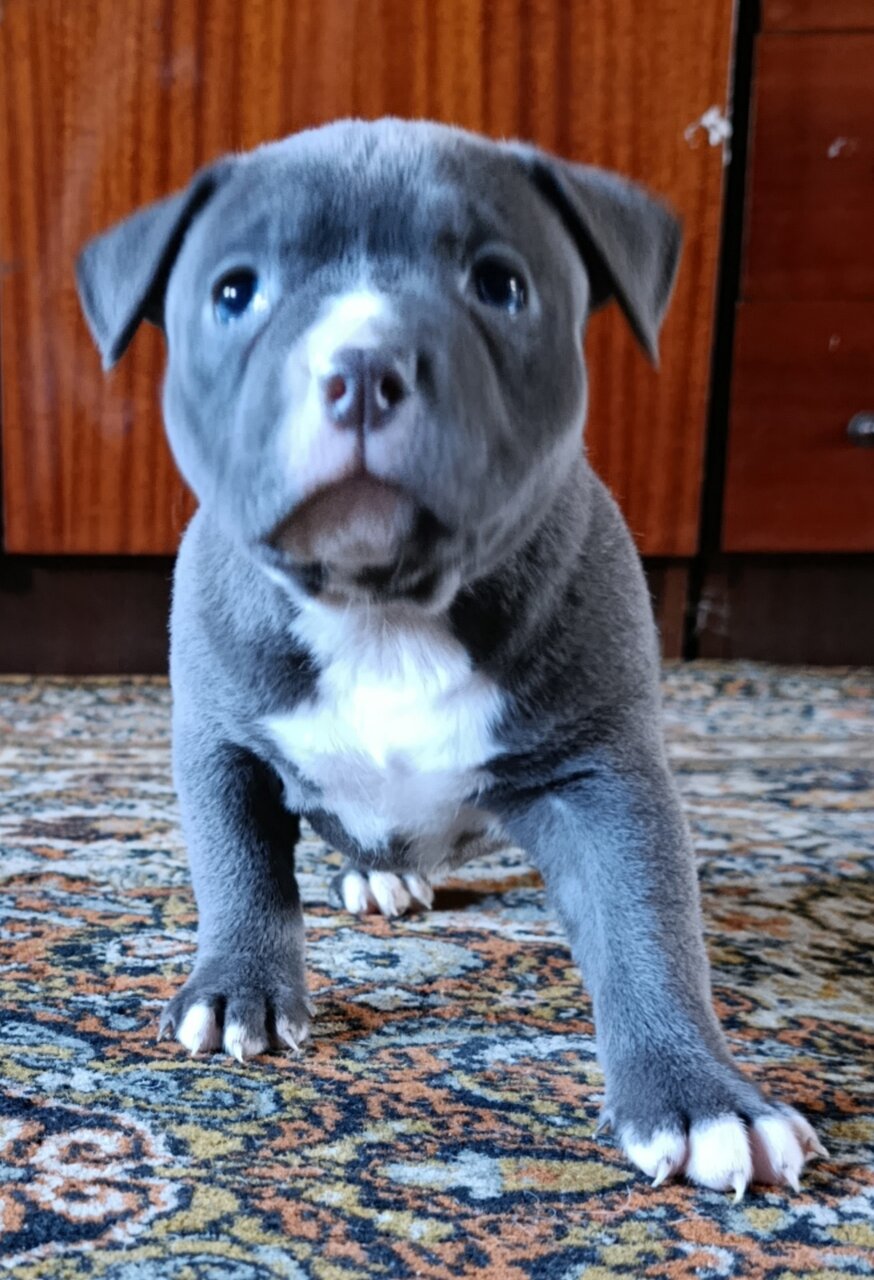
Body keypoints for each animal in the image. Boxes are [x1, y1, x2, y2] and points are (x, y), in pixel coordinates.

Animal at [76, 118, 825, 1195]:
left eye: (500, 285)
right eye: (234, 293)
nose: (361, 363)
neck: (380, 607)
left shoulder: (605, 779)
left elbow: (647, 923)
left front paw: (700, 1098)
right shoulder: (222, 745)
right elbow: (241, 869)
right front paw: (236, 990)